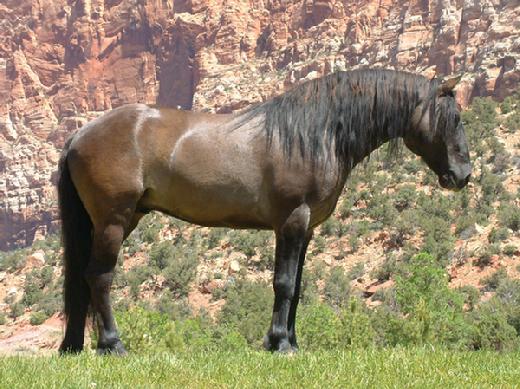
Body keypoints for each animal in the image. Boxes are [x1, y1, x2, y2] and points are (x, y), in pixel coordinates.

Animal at [55, 68, 472, 354]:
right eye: (453, 119)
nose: (463, 175)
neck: (315, 133)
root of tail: (80, 135)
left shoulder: (307, 229)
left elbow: (298, 287)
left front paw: (291, 341)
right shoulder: (291, 221)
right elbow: (283, 283)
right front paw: (279, 343)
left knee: (84, 279)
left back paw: (74, 346)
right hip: (113, 221)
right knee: (100, 278)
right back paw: (112, 345)